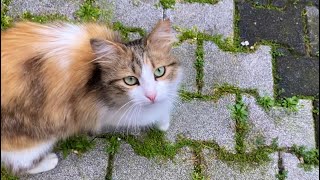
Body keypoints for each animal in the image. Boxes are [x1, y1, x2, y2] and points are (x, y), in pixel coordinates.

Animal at [0, 19, 182, 174]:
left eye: (160, 71)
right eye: (130, 80)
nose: (151, 96)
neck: (97, 75)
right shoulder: (106, 113)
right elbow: (151, 114)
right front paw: (163, 118)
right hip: (33, 140)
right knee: (17, 166)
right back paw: (48, 161)